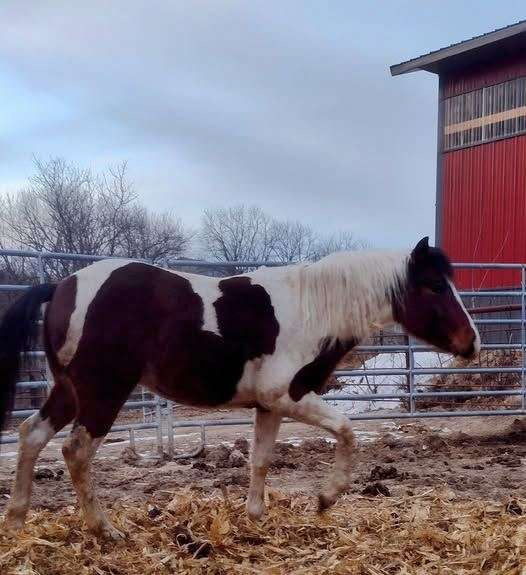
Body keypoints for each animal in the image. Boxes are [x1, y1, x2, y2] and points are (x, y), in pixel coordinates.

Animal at [0, 237, 478, 540]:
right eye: (436, 286)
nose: (471, 342)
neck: (312, 310)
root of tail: (62, 286)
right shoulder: (290, 396)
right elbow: (346, 431)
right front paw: (326, 498)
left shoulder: (269, 406)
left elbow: (260, 461)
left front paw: (255, 519)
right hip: (103, 394)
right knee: (75, 452)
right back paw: (105, 531)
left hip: (69, 391)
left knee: (32, 435)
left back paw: (18, 522)